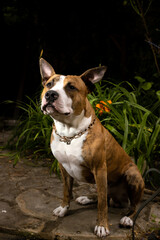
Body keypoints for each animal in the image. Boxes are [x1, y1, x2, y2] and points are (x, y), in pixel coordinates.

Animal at [39, 57, 144, 236]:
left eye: (71, 87)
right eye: (49, 84)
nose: (51, 94)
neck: (69, 132)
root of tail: (120, 200)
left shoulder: (100, 169)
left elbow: (102, 204)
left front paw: (102, 226)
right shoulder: (63, 167)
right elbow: (67, 191)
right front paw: (63, 209)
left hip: (133, 175)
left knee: (131, 204)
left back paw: (128, 218)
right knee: (105, 196)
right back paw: (87, 198)